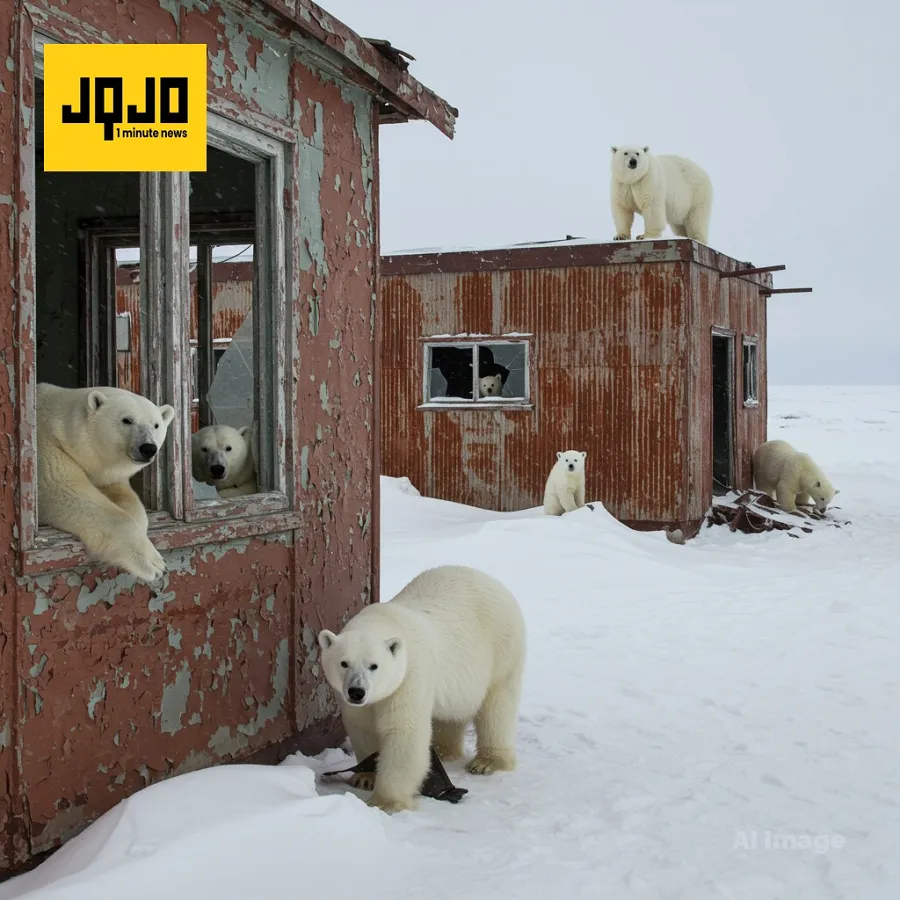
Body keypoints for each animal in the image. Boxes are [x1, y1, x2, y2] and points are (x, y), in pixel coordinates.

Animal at [36, 383, 175, 582]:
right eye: (127, 420)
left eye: (156, 425)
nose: (148, 448)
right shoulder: (46, 449)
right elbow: (64, 489)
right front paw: (154, 563)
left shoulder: (106, 474)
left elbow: (125, 496)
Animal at [318, 564, 527, 813]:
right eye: (344, 663)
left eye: (374, 666)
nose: (357, 692)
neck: (384, 622)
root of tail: (495, 583)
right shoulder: (353, 701)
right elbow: (363, 728)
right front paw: (365, 776)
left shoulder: (410, 675)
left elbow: (404, 731)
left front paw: (385, 802)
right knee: (450, 715)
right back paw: (444, 750)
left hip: (502, 650)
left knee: (497, 707)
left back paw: (487, 762)